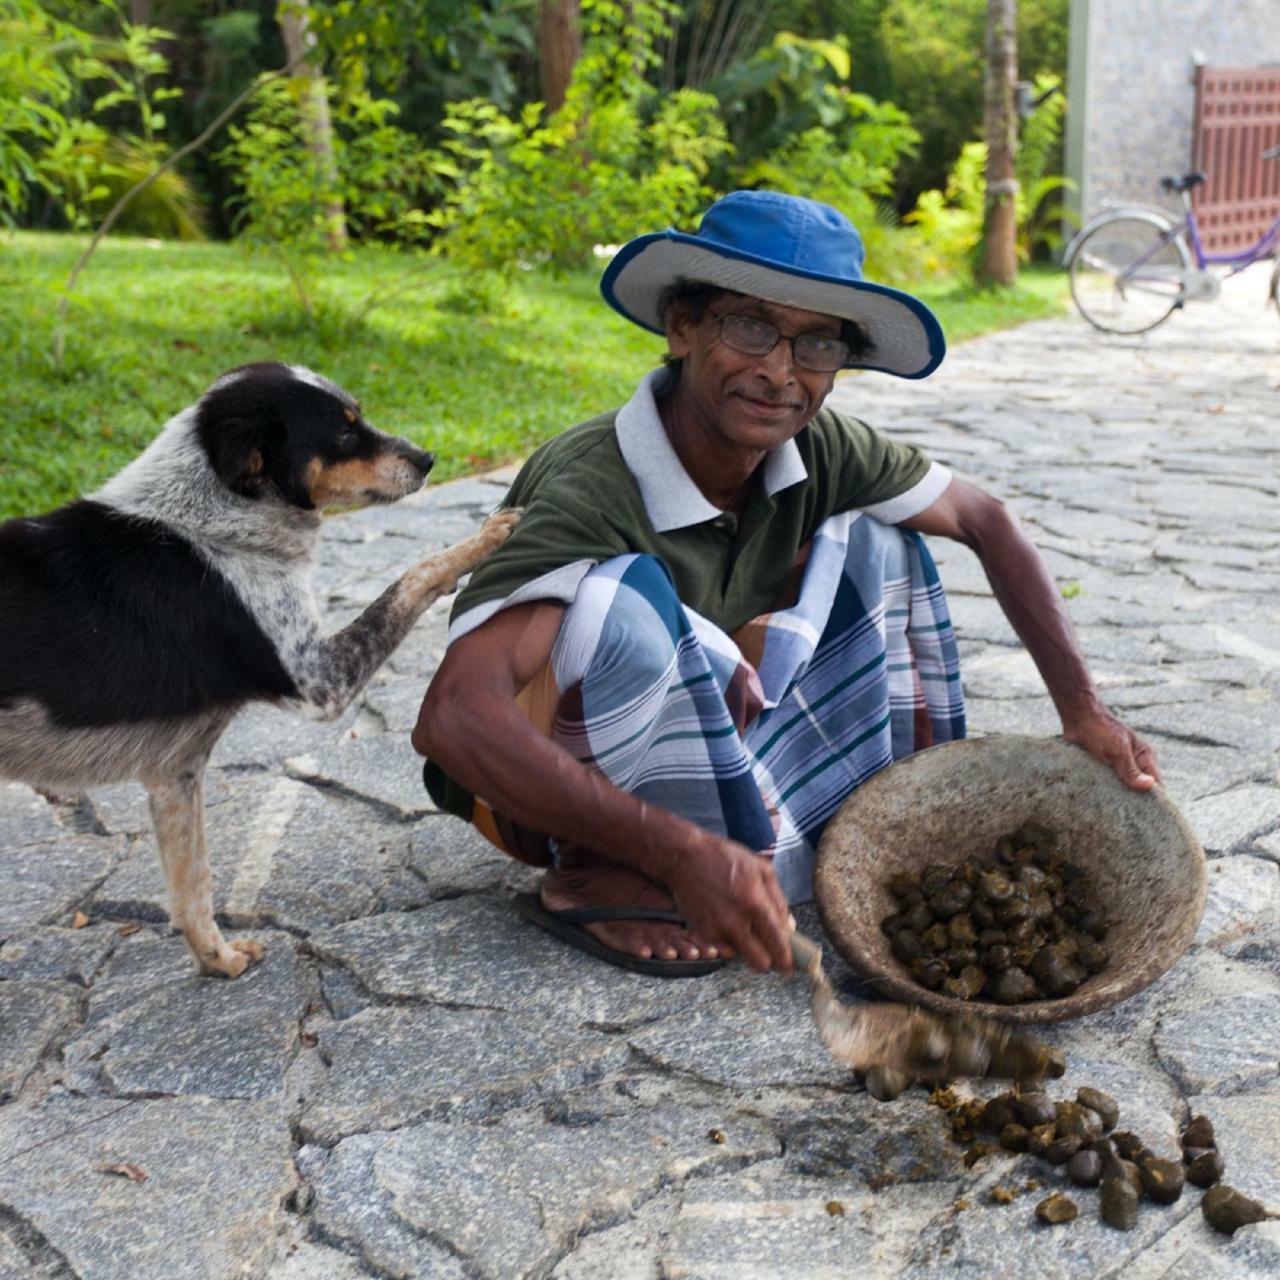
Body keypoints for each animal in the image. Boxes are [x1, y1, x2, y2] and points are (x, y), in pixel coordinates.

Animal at [2, 366, 519, 972]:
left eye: (359, 415)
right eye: (344, 431)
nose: (429, 457)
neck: (212, 518)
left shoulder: (174, 773)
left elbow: (192, 885)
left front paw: (218, 962)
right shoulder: (322, 679)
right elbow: (415, 573)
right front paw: (484, 537)